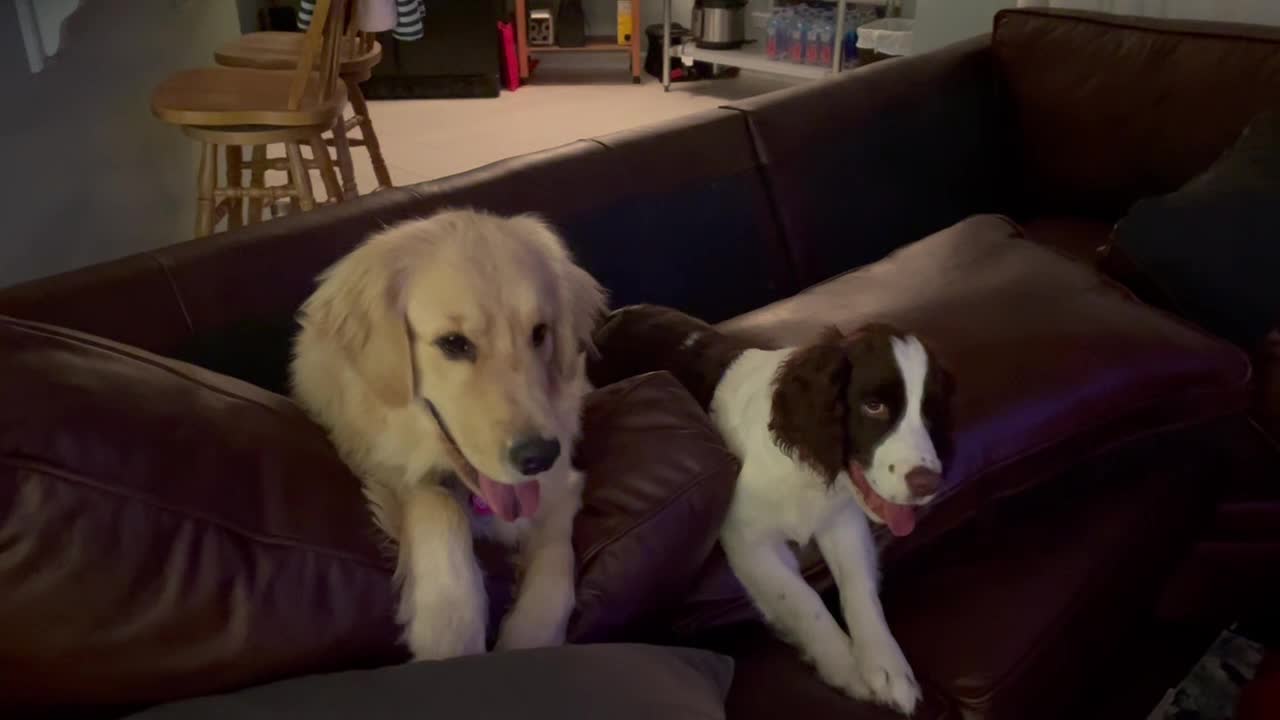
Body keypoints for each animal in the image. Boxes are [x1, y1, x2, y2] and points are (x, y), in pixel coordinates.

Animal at [293, 206, 606, 655]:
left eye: (540, 333)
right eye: (454, 343)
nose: (539, 457)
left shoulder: (562, 485)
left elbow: (556, 560)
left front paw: (530, 636)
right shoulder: (386, 468)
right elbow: (438, 502)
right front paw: (449, 627)